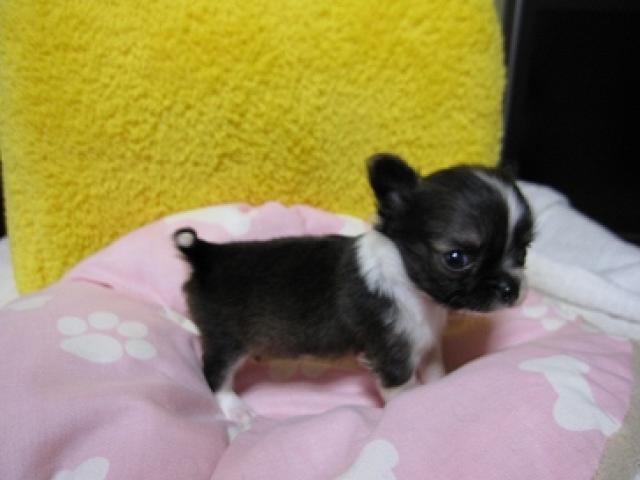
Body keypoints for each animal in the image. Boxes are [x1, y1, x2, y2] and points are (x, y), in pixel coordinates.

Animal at [174, 153, 533, 425]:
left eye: (524, 251)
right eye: (457, 258)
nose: (510, 288)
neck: (411, 286)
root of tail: (207, 255)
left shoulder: (426, 342)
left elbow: (435, 371)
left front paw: (441, 389)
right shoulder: (391, 355)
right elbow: (404, 390)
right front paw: (413, 409)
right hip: (226, 340)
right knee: (215, 374)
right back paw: (235, 408)